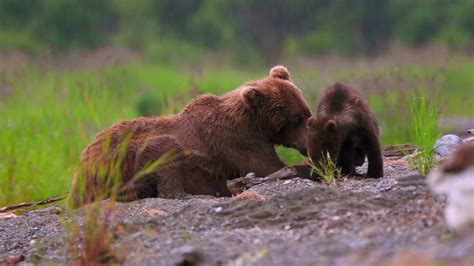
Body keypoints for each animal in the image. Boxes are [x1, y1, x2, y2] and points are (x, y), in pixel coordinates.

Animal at [66, 65, 312, 207]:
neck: (255, 124)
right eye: (294, 120)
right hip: (124, 156)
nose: (308, 145)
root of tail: (82, 166)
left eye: (307, 114)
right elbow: (265, 165)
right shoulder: (237, 141)